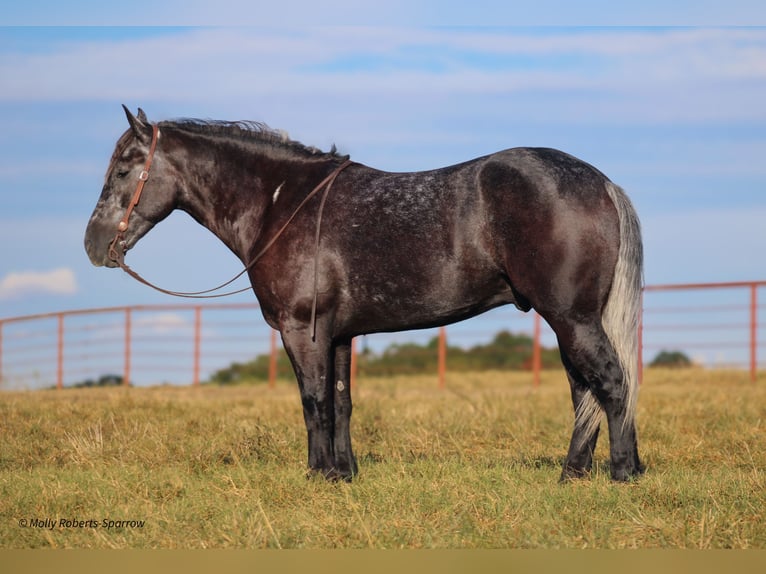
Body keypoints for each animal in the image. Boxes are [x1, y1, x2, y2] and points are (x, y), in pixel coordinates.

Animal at [85, 107, 648, 482]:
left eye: (123, 170)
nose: (93, 245)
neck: (280, 205)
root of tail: (601, 183)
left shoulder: (302, 329)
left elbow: (313, 401)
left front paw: (317, 476)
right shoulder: (337, 336)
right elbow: (341, 402)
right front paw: (343, 474)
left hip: (571, 318)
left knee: (611, 383)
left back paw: (622, 473)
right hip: (570, 322)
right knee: (585, 391)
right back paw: (573, 474)